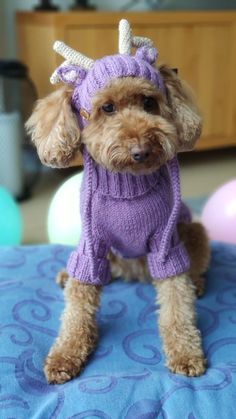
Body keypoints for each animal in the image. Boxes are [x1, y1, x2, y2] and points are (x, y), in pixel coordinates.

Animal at [26, 21, 210, 386]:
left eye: (149, 102)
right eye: (107, 108)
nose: (141, 148)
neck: (127, 186)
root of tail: (133, 272)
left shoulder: (165, 244)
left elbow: (176, 303)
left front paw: (185, 353)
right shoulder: (92, 243)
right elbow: (77, 308)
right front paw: (64, 355)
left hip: (193, 230)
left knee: (193, 268)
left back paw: (196, 283)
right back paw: (66, 275)